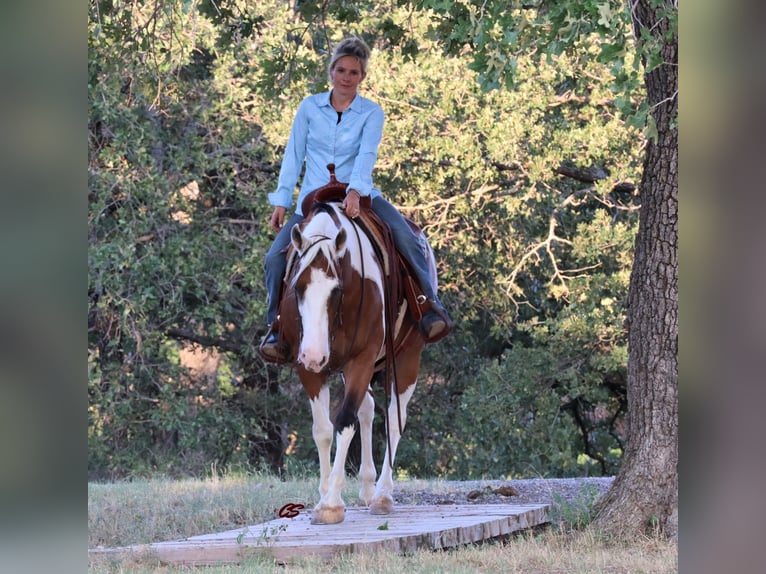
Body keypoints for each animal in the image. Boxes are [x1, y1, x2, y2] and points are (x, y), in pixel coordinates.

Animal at [272, 182, 436, 524]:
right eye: (296, 287)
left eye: (337, 290)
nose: (315, 354)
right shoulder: (308, 368)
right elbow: (322, 429)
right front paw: (323, 495)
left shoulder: (361, 359)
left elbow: (344, 421)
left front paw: (332, 504)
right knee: (369, 408)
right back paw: (368, 488)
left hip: (407, 358)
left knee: (393, 419)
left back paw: (383, 495)